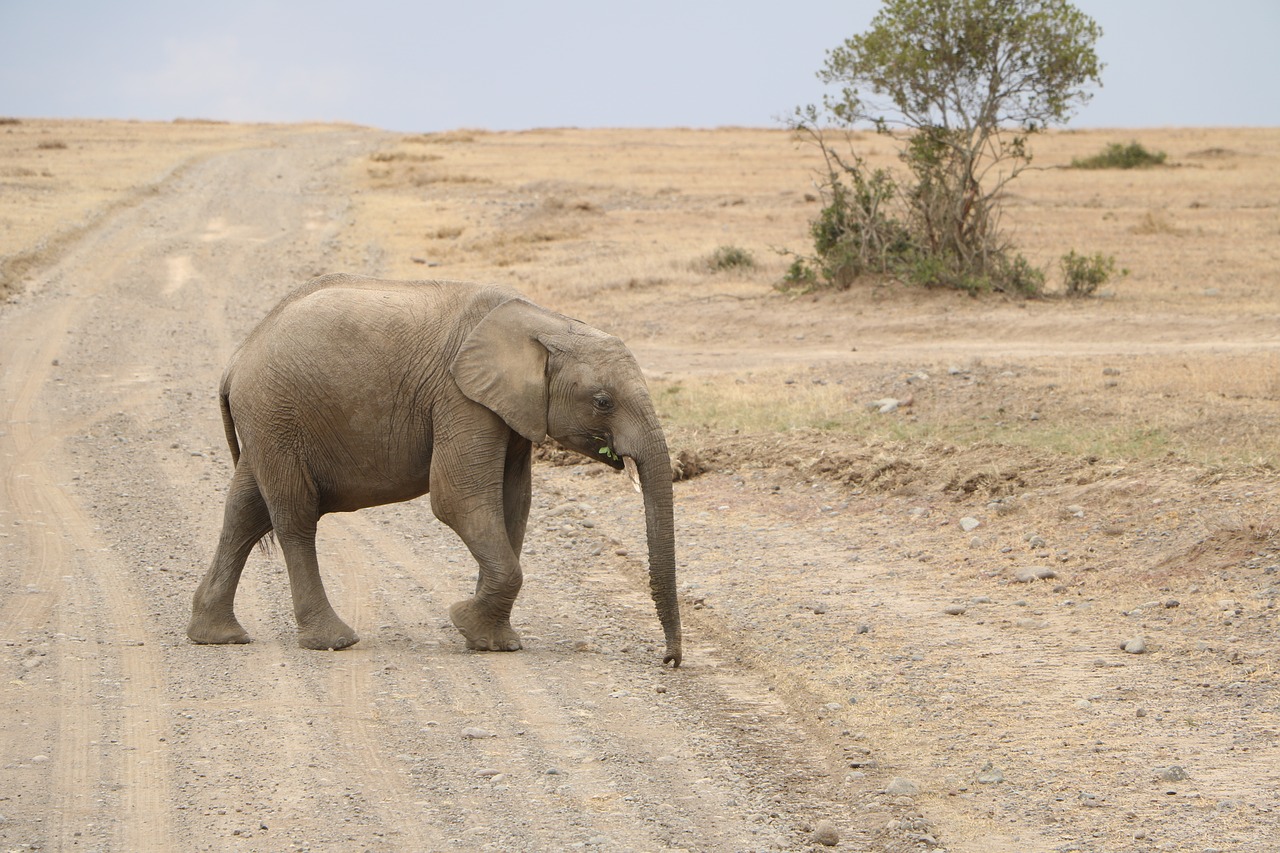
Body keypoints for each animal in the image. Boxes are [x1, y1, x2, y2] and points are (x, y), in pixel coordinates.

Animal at [186, 274, 686, 666]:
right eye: (602, 402)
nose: (668, 660)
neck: (543, 324)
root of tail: (236, 361)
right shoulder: (460, 398)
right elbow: (459, 499)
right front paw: (469, 625)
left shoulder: (508, 410)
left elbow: (513, 503)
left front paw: (491, 641)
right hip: (277, 415)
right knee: (293, 515)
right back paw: (333, 641)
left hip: (268, 423)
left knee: (245, 510)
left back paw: (218, 636)